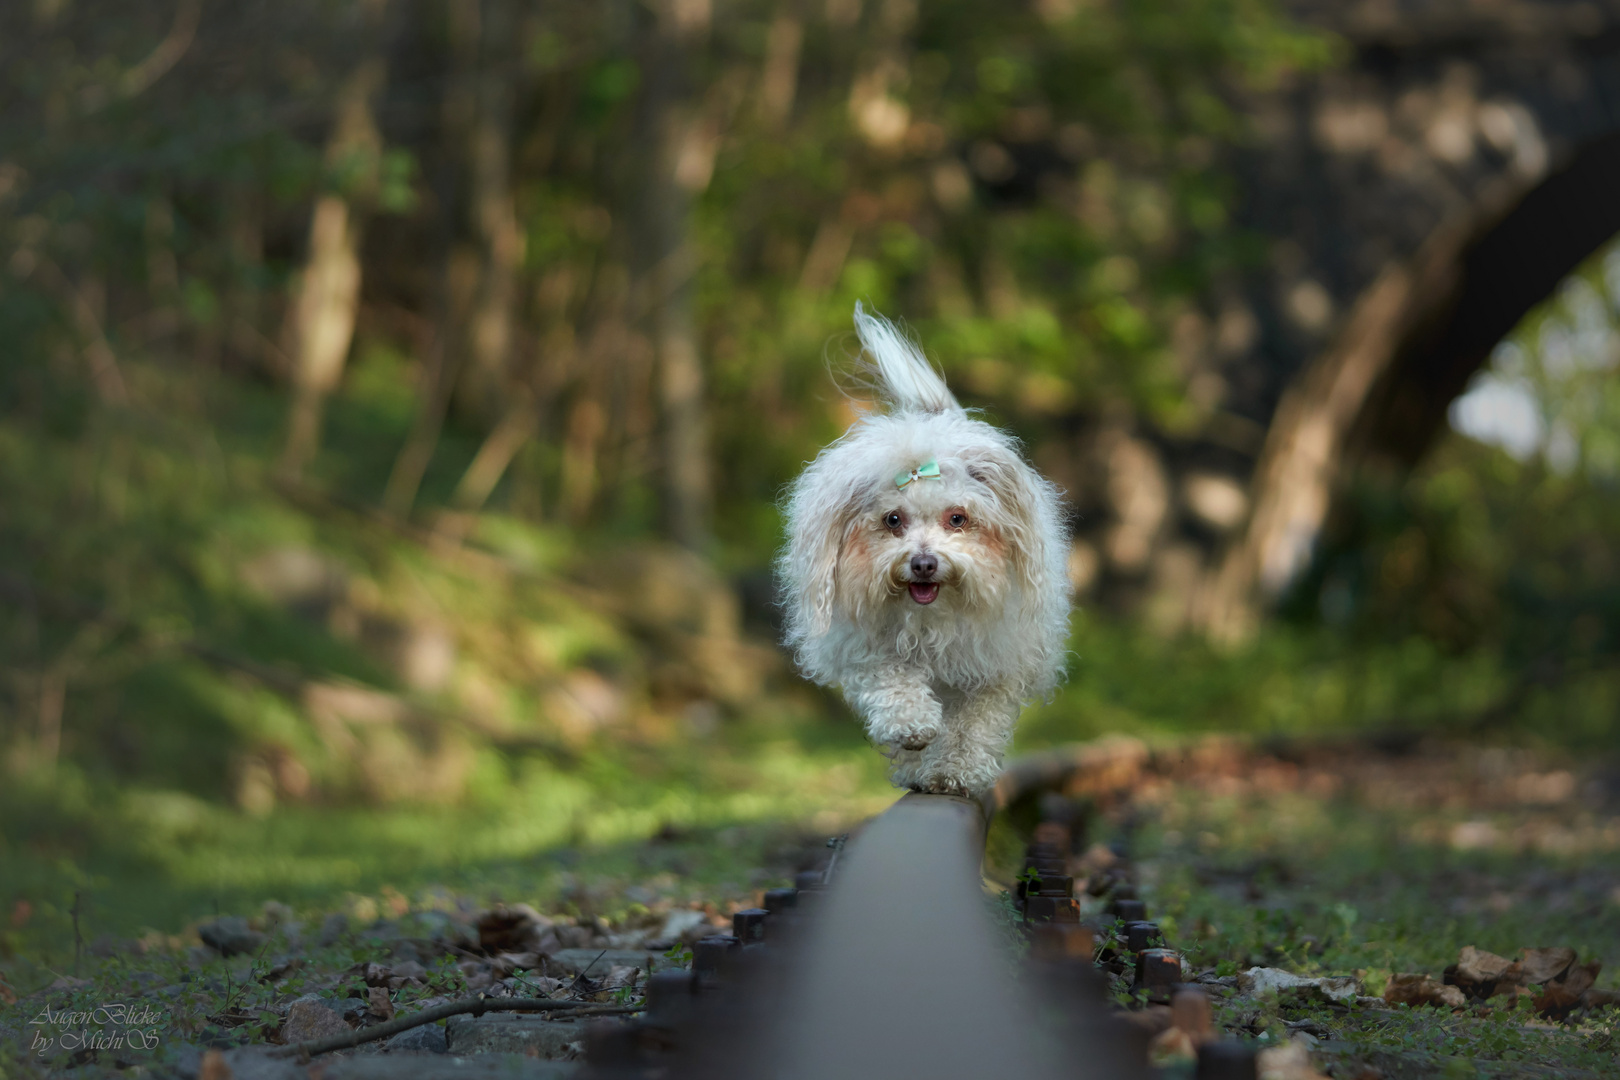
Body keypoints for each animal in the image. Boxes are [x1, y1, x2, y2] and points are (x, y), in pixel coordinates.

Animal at [777, 302, 1069, 793]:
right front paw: (912, 731)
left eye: (958, 518)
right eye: (893, 520)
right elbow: (895, 687)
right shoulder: (869, 649)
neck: (933, 624)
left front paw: (957, 770)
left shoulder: (996, 667)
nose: (924, 563)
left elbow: (975, 724)